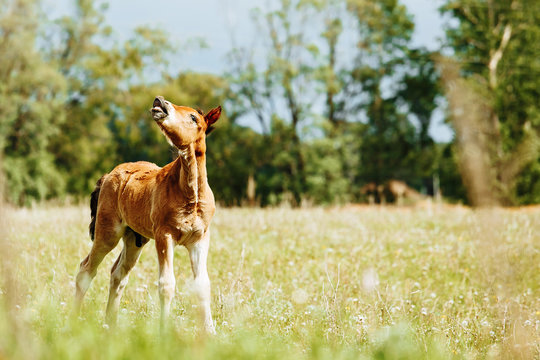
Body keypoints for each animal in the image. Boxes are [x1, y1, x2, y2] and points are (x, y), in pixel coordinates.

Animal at [74, 95, 221, 332]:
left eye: (193, 117)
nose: (160, 101)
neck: (191, 194)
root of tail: (108, 175)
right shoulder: (164, 235)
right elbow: (166, 284)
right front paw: (164, 332)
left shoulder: (200, 239)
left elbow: (202, 285)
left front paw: (210, 332)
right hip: (108, 234)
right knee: (86, 270)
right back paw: (73, 321)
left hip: (135, 239)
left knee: (118, 274)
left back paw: (110, 326)